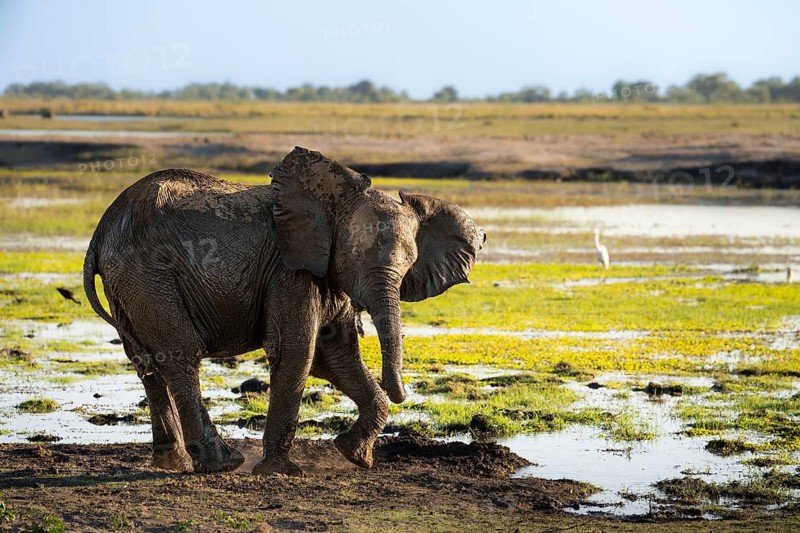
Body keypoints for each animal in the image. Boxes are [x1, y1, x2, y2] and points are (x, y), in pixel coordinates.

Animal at [83, 146, 485, 475]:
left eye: (408, 267)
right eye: (353, 258)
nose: (398, 387)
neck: (332, 201)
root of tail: (99, 233)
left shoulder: (322, 272)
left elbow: (336, 357)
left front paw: (354, 455)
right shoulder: (289, 270)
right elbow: (297, 351)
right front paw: (281, 471)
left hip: (131, 284)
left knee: (147, 364)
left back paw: (172, 463)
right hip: (149, 275)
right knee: (180, 356)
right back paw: (222, 463)